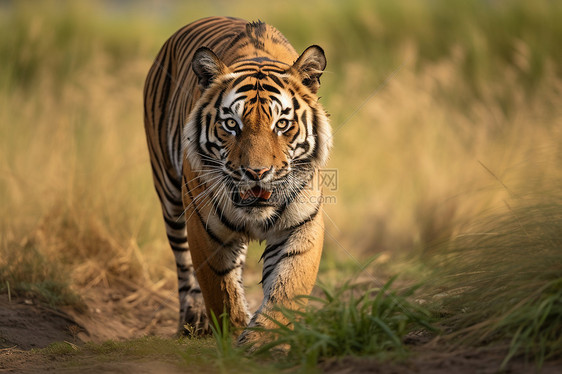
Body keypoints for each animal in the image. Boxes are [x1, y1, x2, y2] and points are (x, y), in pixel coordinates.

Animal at [142, 17, 330, 344]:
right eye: (231, 124)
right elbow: (221, 292)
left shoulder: (301, 225)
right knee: (183, 267)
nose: (257, 172)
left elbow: (288, 287)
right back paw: (192, 322)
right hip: (171, 197)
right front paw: (232, 336)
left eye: (282, 124)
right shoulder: (205, 228)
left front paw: (264, 342)